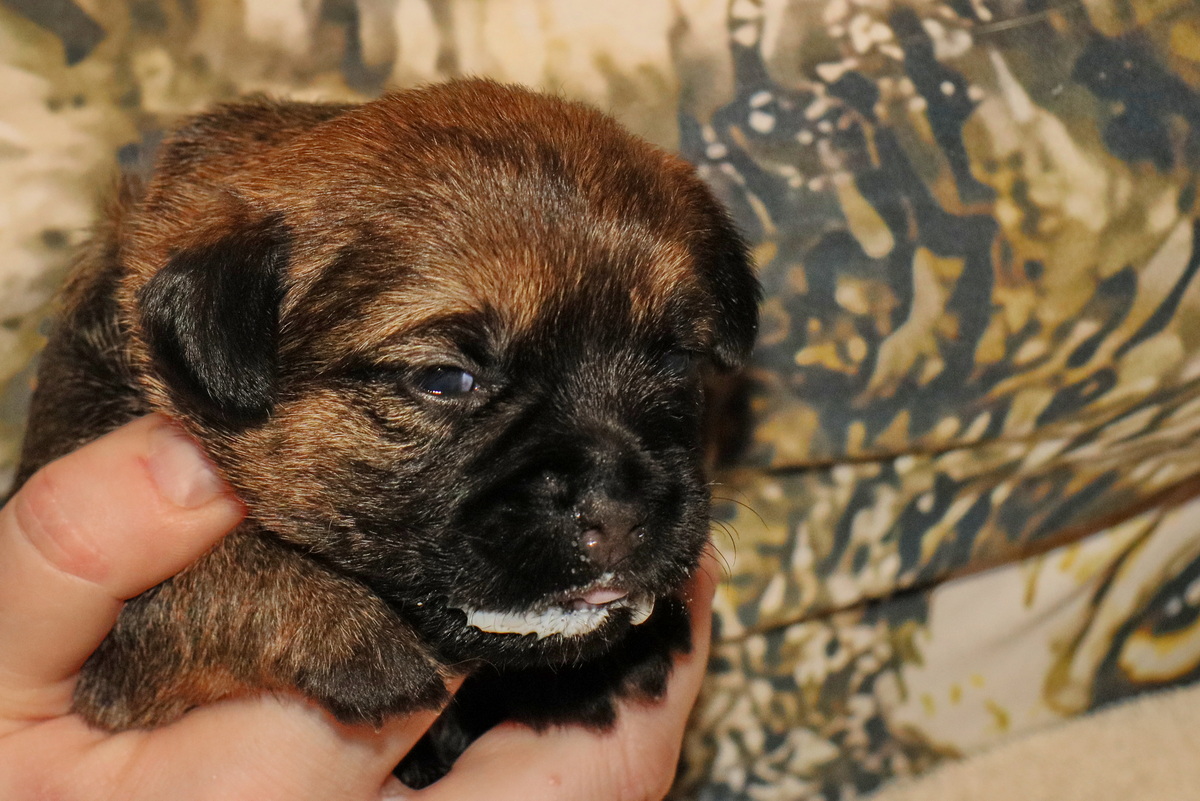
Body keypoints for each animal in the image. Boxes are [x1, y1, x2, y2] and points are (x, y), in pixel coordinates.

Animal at [13, 79, 759, 783]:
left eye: (676, 361)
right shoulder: (112, 657)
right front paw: (341, 627)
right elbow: (191, 580)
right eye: (445, 378)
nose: (622, 510)